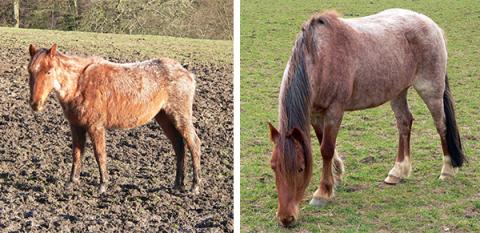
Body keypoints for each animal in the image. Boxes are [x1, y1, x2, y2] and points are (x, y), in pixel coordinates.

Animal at [27, 43, 202, 195]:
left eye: (49, 71)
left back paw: (195, 186)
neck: (79, 84)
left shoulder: (95, 126)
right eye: (30, 71)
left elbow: (100, 154)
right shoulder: (76, 126)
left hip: (179, 115)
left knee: (193, 143)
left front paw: (103, 185)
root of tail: (187, 73)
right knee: (178, 145)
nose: (35, 104)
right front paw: (71, 182)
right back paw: (178, 184)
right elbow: (77, 153)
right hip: (164, 117)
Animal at [266, 8, 464, 226]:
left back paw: (447, 169)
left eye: (301, 169)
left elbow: (326, 149)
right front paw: (337, 175)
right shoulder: (315, 114)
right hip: (398, 91)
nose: (286, 218)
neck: (319, 58)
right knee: (404, 122)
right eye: (273, 167)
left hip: (431, 90)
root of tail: (432, 25)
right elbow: (323, 143)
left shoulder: (334, 111)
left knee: (441, 125)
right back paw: (398, 172)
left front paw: (323, 192)